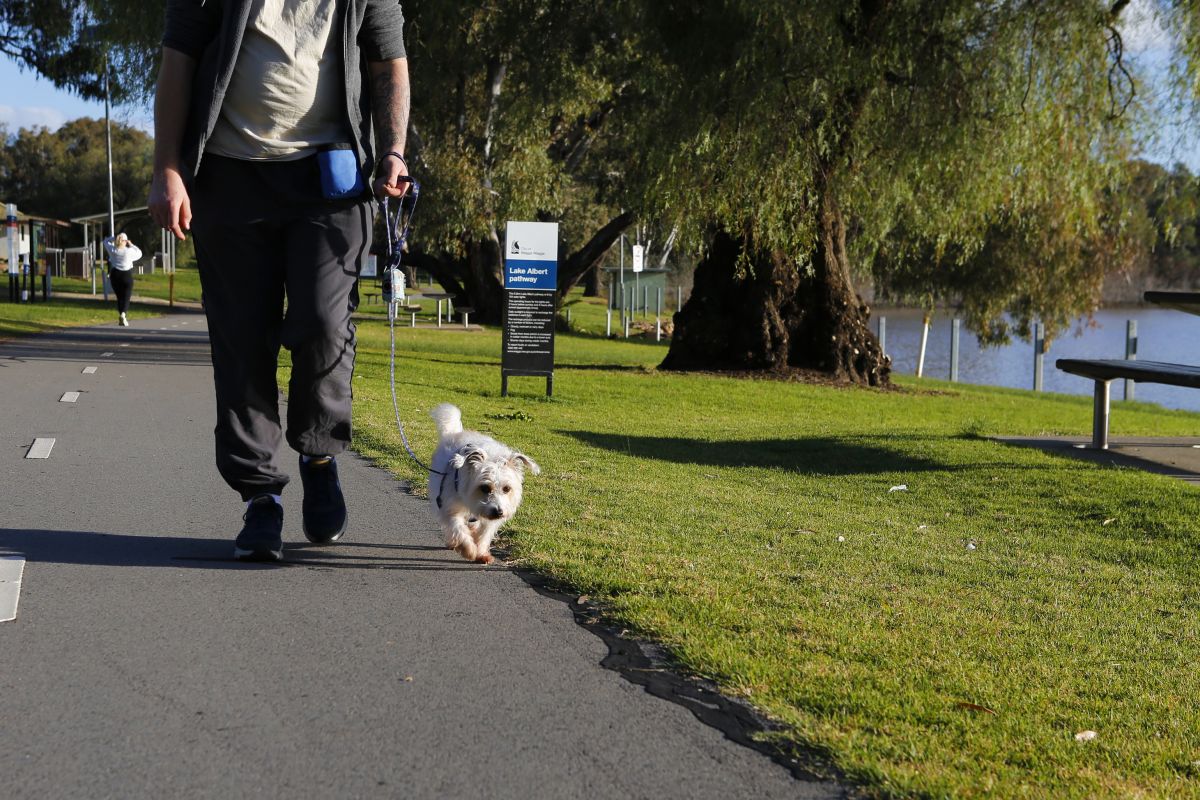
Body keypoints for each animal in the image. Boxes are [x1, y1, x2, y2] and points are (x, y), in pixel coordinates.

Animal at [429, 402, 542, 566]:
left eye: (506, 489)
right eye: (484, 487)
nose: (498, 512)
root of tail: (454, 433)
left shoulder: (490, 520)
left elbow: (484, 534)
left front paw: (482, 553)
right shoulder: (450, 507)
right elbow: (458, 528)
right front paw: (469, 550)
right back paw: (454, 542)